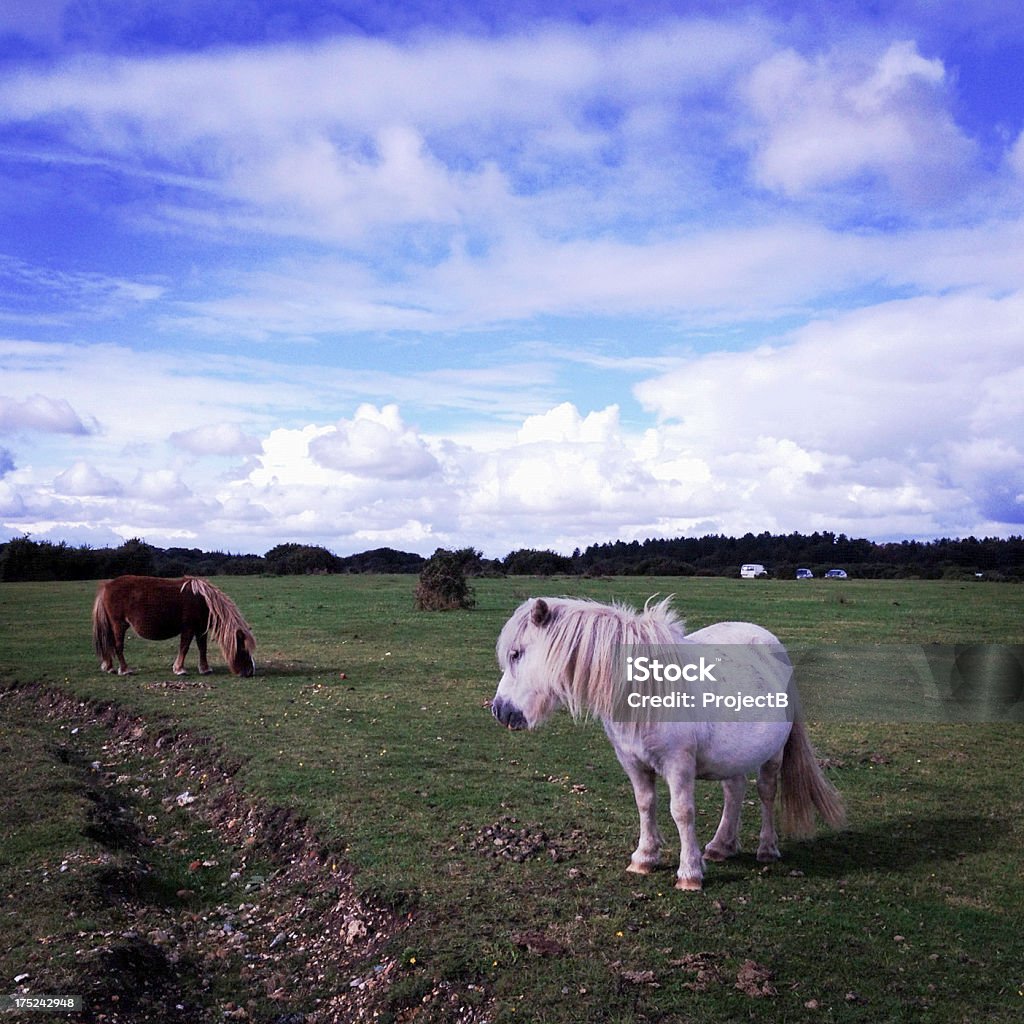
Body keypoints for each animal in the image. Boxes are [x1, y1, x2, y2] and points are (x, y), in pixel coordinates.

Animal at [93, 581, 256, 675]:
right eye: (243, 648)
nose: (250, 672)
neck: (203, 599)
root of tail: (106, 587)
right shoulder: (189, 628)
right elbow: (184, 647)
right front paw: (179, 669)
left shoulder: (200, 629)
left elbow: (202, 648)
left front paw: (205, 669)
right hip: (118, 625)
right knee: (118, 646)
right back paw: (125, 670)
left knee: (108, 644)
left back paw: (109, 667)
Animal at [491, 598, 843, 892]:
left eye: (516, 653)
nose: (500, 710)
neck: (644, 689)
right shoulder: (632, 761)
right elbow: (645, 804)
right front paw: (644, 858)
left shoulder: (678, 763)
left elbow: (682, 812)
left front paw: (689, 874)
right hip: (733, 755)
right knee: (734, 791)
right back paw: (720, 846)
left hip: (772, 754)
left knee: (767, 792)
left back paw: (767, 849)